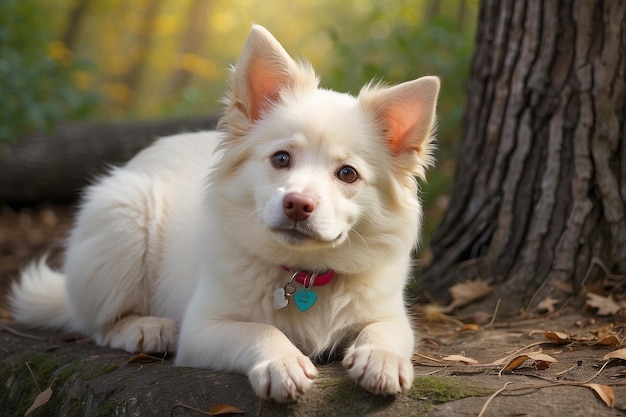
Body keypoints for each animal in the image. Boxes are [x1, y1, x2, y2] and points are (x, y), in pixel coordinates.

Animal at [11, 25, 438, 400]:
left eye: (347, 174)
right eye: (281, 158)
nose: (297, 205)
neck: (304, 274)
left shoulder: (391, 316)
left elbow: (384, 332)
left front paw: (381, 360)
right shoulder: (201, 330)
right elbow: (259, 331)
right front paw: (282, 363)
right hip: (124, 216)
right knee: (98, 324)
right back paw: (146, 328)